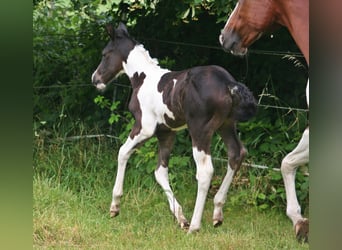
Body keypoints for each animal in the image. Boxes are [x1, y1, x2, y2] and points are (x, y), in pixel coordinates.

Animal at [91, 22, 256, 233]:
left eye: (105, 54)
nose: (95, 79)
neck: (142, 78)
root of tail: (228, 83)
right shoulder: (166, 133)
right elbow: (160, 172)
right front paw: (180, 217)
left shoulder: (144, 127)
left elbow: (122, 152)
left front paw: (115, 206)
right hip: (226, 125)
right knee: (237, 154)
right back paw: (217, 212)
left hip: (200, 131)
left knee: (205, 171)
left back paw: (195, 226)